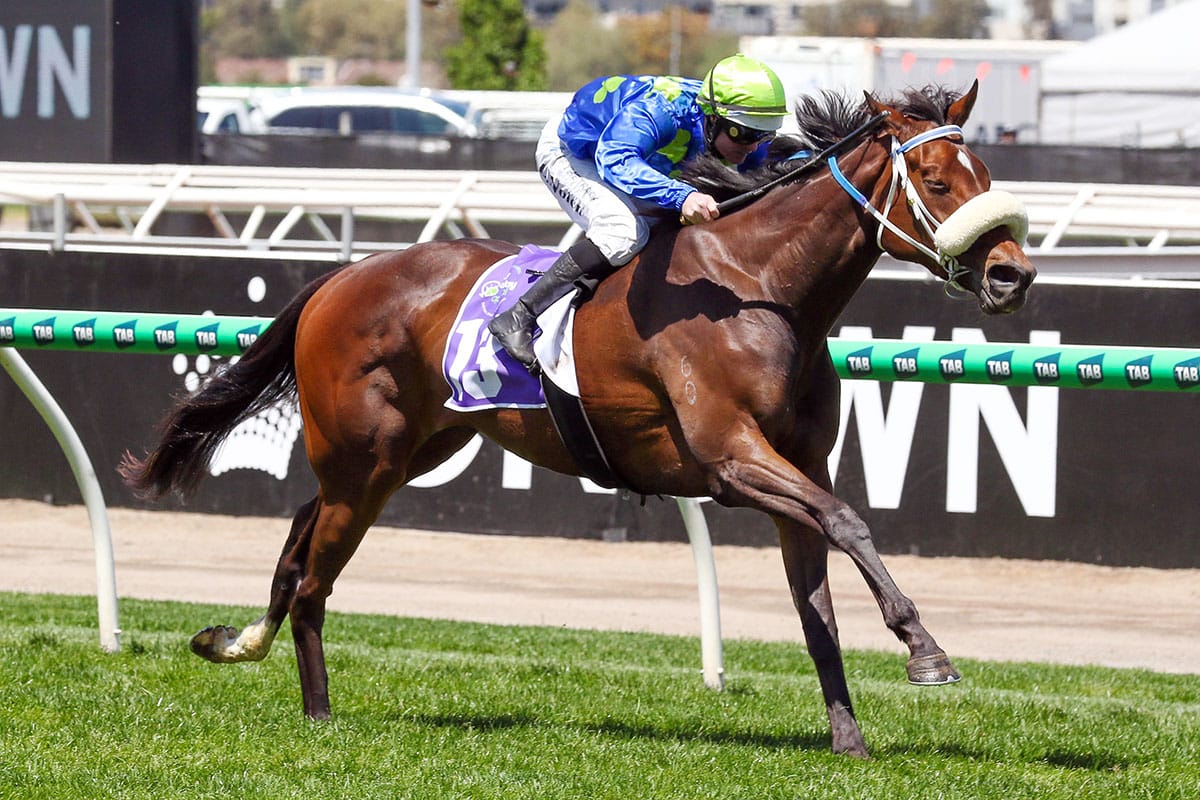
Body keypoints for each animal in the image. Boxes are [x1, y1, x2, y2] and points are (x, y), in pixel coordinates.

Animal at [121, 80, 1035, 758]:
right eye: (941, 183)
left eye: (987, 175)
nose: (1012, 275)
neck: (760, 287)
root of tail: (340, 277)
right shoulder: (731, 461)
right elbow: (849, 523)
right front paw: (927, 653)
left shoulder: (794, 469)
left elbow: (818, 607)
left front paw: (848, 737)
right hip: (364, 457)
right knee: (315, 577)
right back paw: (317, 713)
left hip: (409, 449)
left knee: (300, 537)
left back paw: (239, 642)